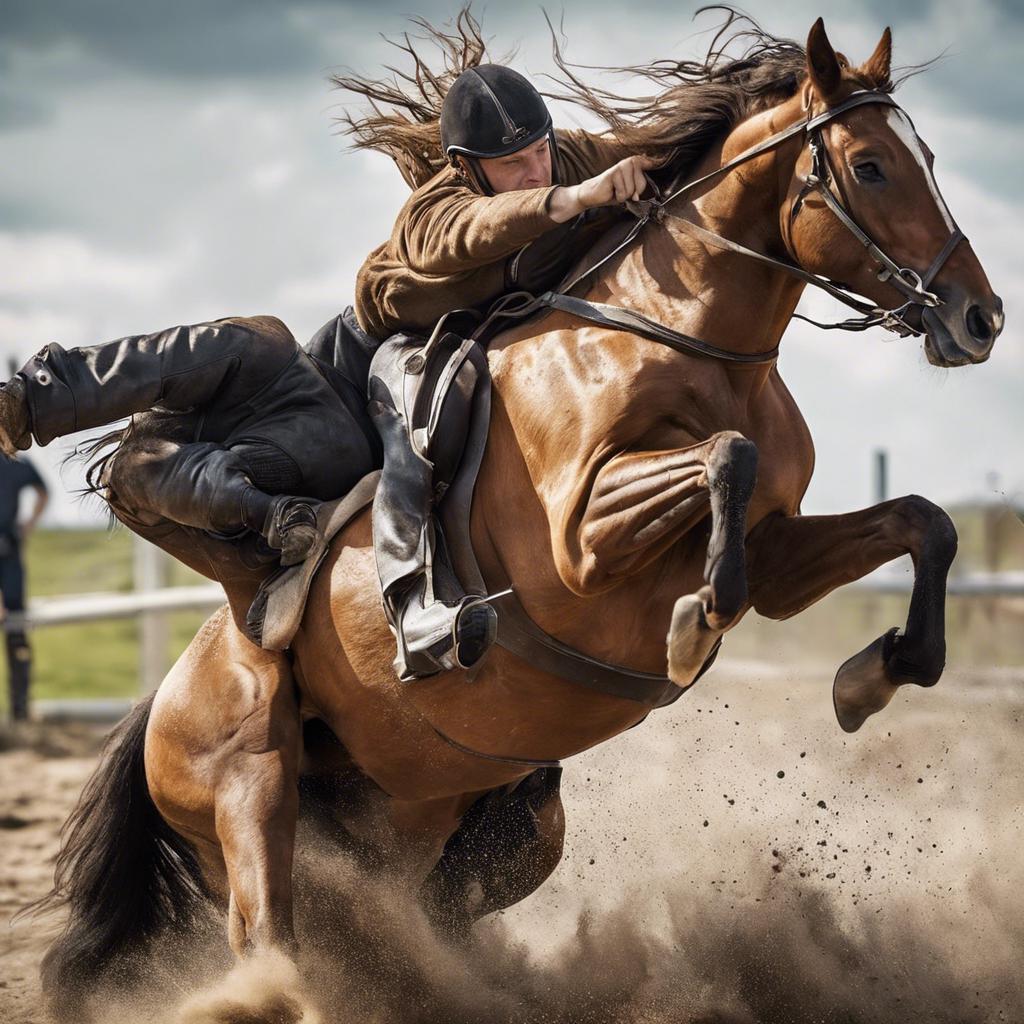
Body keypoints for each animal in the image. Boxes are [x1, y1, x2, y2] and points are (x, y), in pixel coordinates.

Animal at [37, 18, 999, 1024]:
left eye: (927, 158)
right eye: (871, 166)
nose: (981, 318)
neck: (679, 342)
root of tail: (166, 693)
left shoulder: (776, 551)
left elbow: (922, 524)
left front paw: (876, 673)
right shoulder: (579, 543)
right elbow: (725, 460)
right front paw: (697, 624)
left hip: (482, 829)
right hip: (249, 785)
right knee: (273, 948)